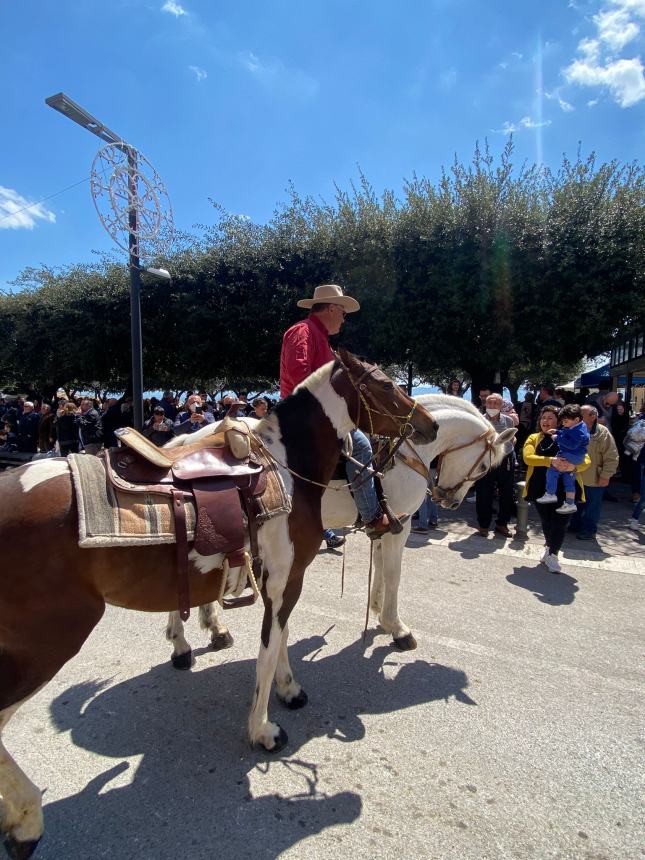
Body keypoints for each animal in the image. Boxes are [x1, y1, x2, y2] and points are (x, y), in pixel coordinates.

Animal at [0, 346, 438, 856]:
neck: (288, 467)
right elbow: (267, 652)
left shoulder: (283, 578)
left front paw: (289, 690)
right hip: (48, 641)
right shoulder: (285, 579)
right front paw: (262, 729)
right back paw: (26, 819)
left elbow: (281, 639)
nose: (429, 424)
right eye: (384, 384)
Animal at [165, 394, 512, 660]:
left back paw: (209, 631)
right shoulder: (401, 525)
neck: (404, 451)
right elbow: (393, 574)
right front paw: (397, 627)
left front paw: (378, 613)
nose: (449, 500)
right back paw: (185, 642)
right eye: (485, 466)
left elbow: (379, 566)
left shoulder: (384, 525)